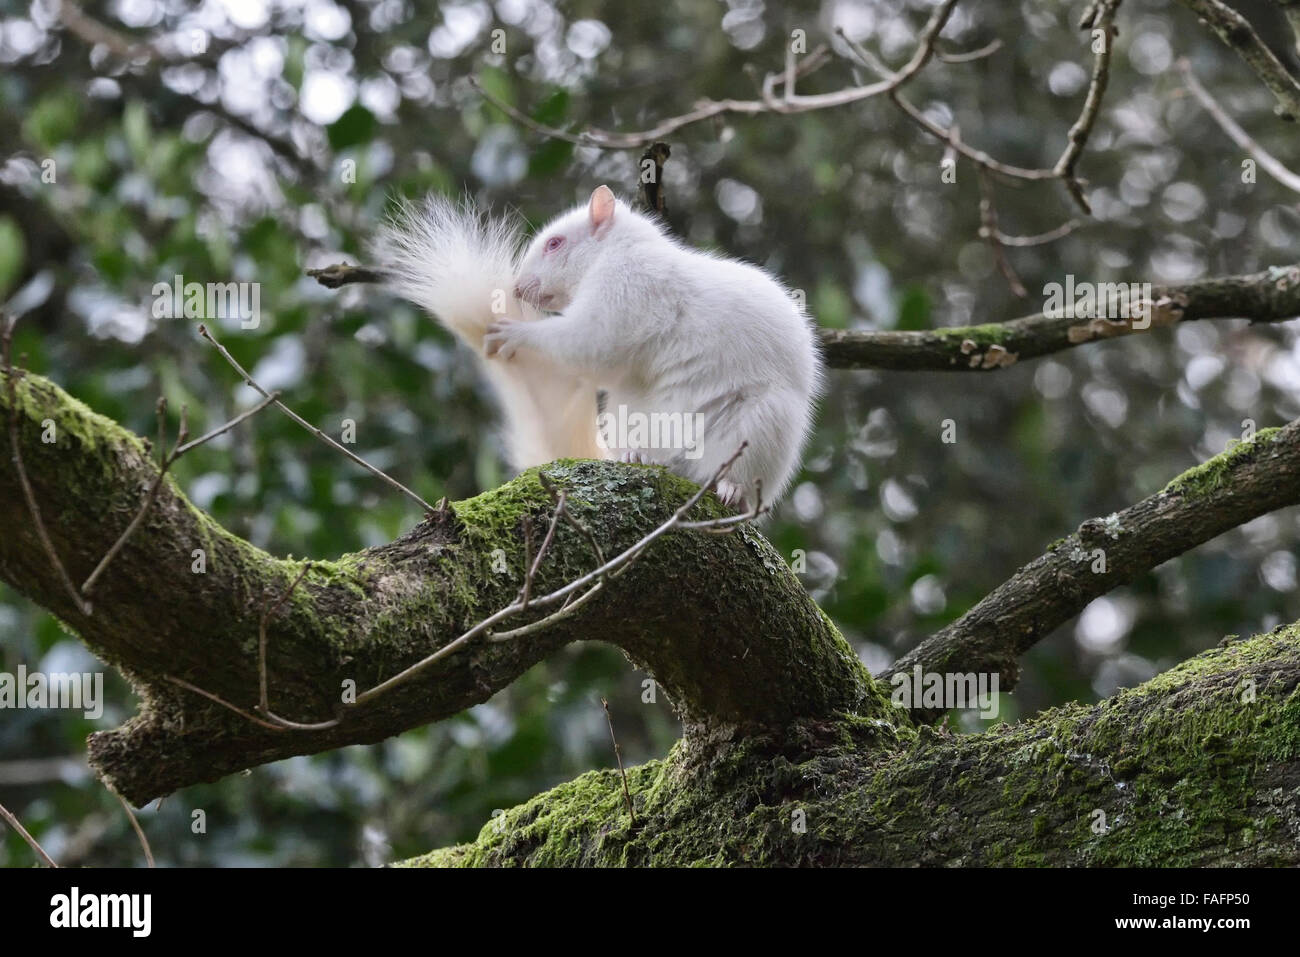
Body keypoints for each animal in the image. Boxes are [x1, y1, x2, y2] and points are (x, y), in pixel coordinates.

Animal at [371, 185, 822, 509]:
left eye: (555, 244)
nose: (517, 288)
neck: (614, 252)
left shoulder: (628, 289)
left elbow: (593, 344)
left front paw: (516, 334)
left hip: (760, 427)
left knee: (740, 477)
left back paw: (730, 489)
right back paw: (636, 457)